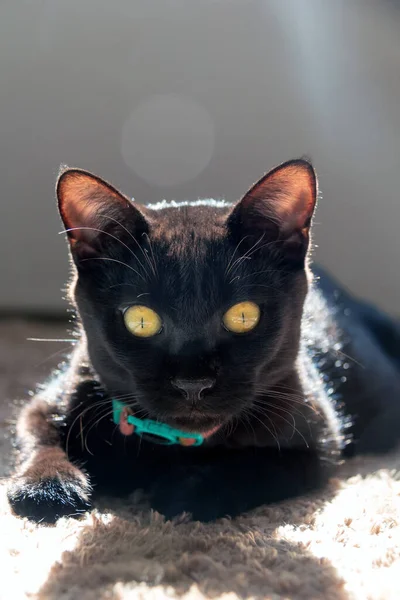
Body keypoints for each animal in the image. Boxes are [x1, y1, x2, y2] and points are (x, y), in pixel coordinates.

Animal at [7, 158, 400, 520]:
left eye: (243, 316)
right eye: (141, 320)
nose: (192, 383)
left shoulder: (318, 440)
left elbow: (259, 466)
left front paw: (187, 489)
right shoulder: (55, 395)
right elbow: (37, 434)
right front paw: (47, 486)